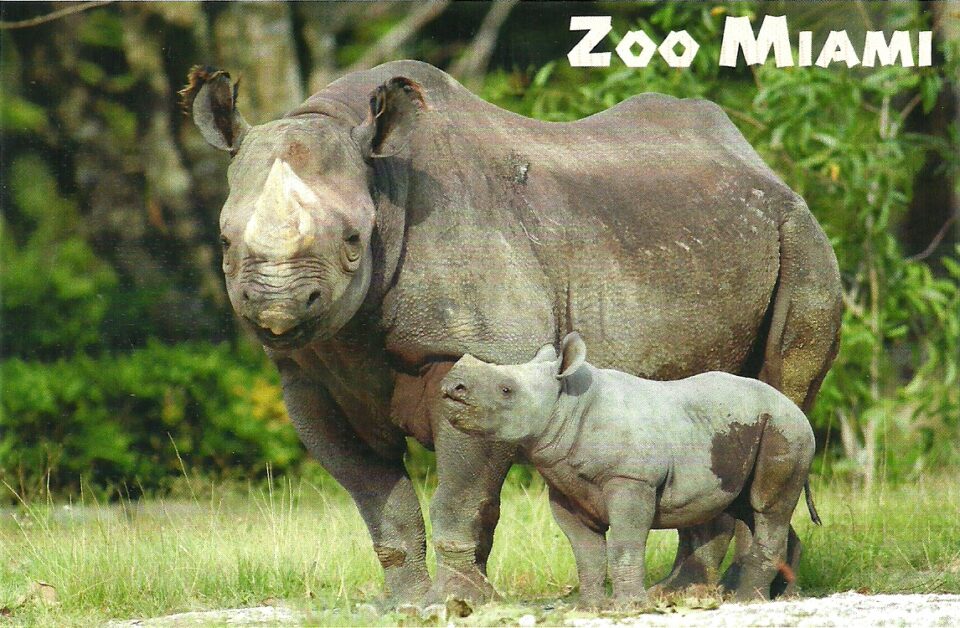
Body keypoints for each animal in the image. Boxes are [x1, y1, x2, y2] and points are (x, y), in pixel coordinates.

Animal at [441, 332, 820, 606]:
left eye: (506, 390)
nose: (451, 388)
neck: (567, 404)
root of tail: (797, 411)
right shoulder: (565, 488)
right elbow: (587, 553)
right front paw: (589, 608)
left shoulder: (630, 479)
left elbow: (625, 543)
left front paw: (629, 607)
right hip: (753, 429)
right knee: (752, 509)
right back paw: (785, 597)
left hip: (785, 430)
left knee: (766, 507)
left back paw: (747, 601)